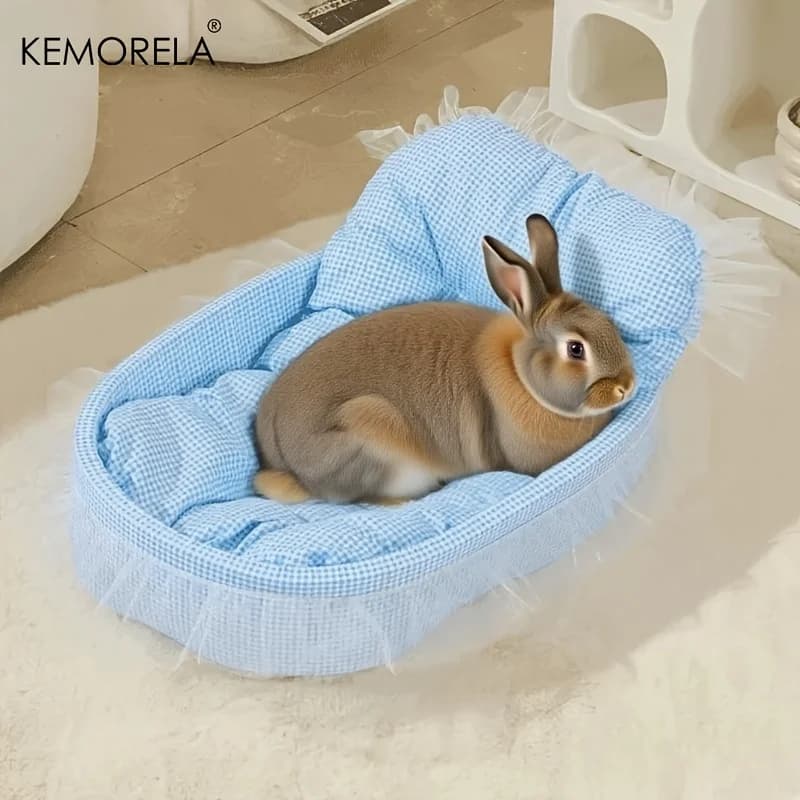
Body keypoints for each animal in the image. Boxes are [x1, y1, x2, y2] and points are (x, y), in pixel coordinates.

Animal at [253, 214, 635, 505]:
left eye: (608, 321)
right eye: (575, 349)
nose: (627, 387)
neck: (520, 372)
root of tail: (281, 464)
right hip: (372, 433)